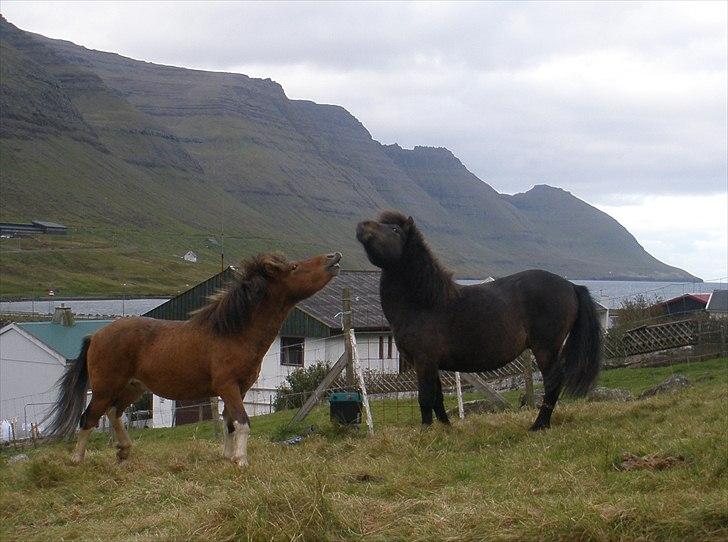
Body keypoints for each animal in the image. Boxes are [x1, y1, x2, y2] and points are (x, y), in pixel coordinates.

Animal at [47, 253, 342, 470]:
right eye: (294, 267)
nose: (334, 256)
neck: (233, 332)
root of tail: (96, 335)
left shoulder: (240, 388)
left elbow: (230, 422)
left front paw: (228, 456)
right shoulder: (227, 386)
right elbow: (242, 421)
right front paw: (242, 461)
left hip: (133, 387)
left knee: (114, 413)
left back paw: (124, 451)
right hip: (104, 388)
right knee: (89, 418)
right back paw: (77, 459)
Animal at [356, 210, 600, 432]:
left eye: (395, 230)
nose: (361, 225)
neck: (425, 303)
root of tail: (571, 285)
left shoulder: (423, 360)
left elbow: (425, 398)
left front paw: (425, 432)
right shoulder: (432, 363)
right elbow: (437, 398)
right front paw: (446, 428)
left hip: (545, 349)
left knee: (553, 383)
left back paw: (539, 425)